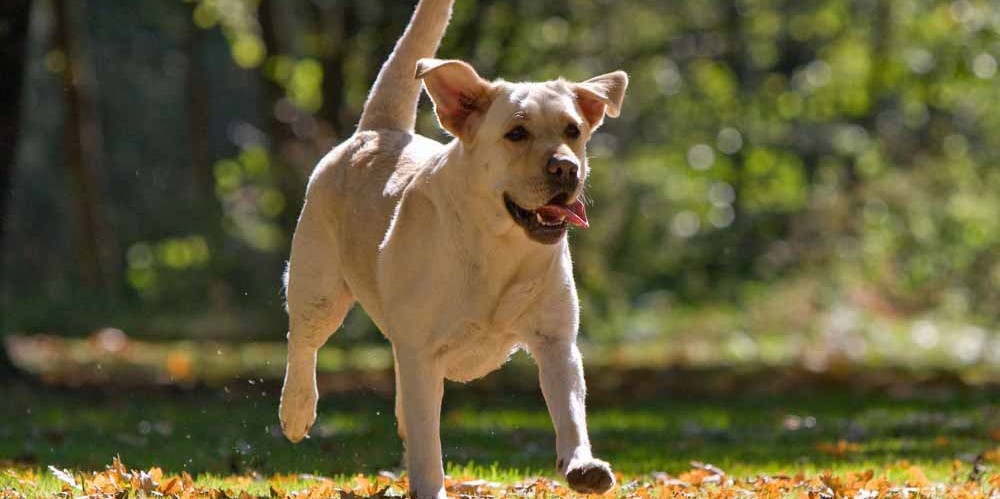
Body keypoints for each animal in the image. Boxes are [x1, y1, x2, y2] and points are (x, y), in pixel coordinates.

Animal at [280, 0, 624, 496]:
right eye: (516, 133)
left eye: (573, 130)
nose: (566, 168)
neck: (498, 246)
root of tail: (378, 130)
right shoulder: (422, 352)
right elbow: (429, 442)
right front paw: (430, 485)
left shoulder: (556, 342)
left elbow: (570, 412)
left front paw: (583, 466)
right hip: (318, 287)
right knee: (302, 341)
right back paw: (296, 409)